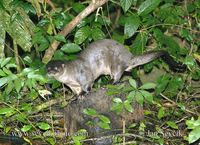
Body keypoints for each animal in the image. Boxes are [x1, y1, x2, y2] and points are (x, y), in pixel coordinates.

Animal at [46, 38, 187, 95]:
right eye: (47, 67)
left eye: (56, 68)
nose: (50, 72)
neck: (71, 75)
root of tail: (128, 56)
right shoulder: (72, 85)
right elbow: (75, 91)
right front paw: (75, 97)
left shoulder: (84, 76)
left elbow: (87, 85)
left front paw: (82, 94)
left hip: (116, 63)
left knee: (118, 75)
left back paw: (110, 83)